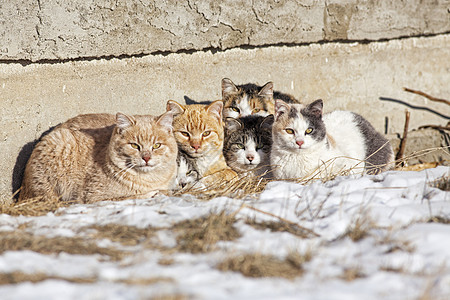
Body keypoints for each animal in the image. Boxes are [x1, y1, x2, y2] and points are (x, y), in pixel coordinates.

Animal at [19, 109, 178, 203]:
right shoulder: (93, 198)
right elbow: (129, 197)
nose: (146, 158)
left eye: (157, 145)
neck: (151, 179)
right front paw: (152, 193)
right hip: (60, 142)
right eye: (134, 145)